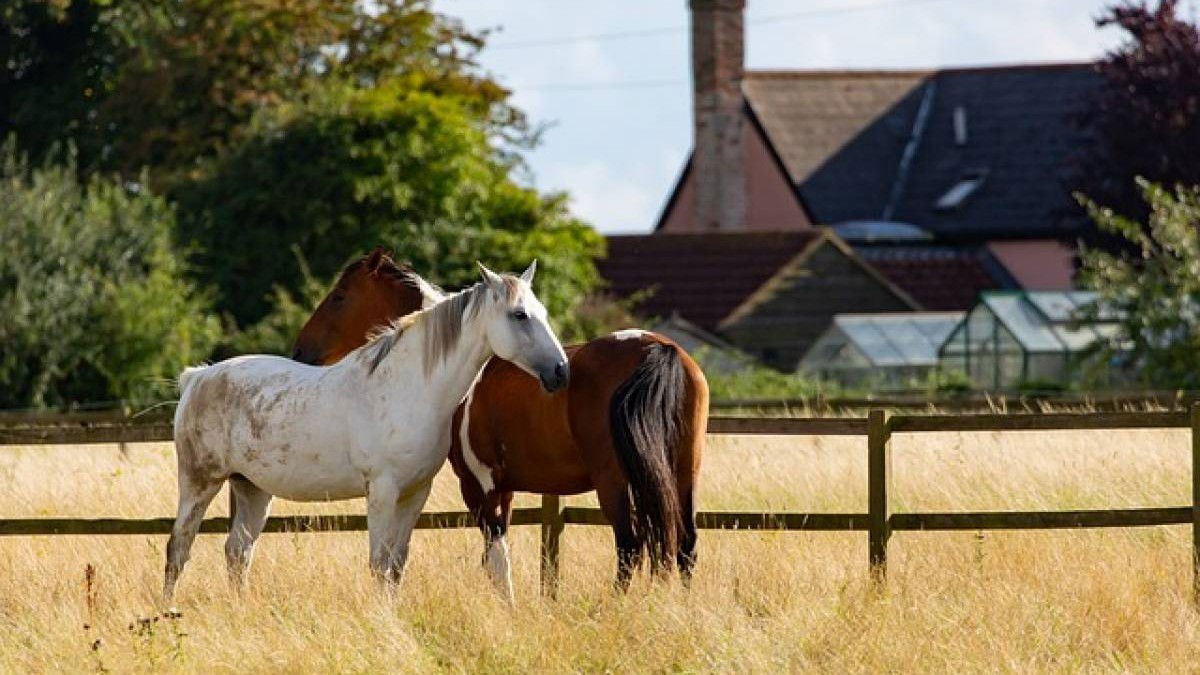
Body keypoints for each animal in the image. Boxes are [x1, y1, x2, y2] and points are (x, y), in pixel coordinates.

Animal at [163, 260, 566, 595]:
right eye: (519, 315)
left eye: (543, 313)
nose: (560, 371)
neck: (410, 388)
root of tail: (197, 378)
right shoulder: (383, 492)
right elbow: (378, 564)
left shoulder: (414, 494)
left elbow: (397, 566)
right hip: (199, 483)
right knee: (178, 548)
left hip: (252, 489)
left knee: (237, 552)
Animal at [291, 248, 705, 593]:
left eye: (339, 297)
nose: (301, 351)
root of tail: (658, 348)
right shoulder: (504, 488)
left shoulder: (479, 486)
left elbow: (496, 558)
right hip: (682, 474)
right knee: (684, 545)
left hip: (615, 481)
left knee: (630, 546)